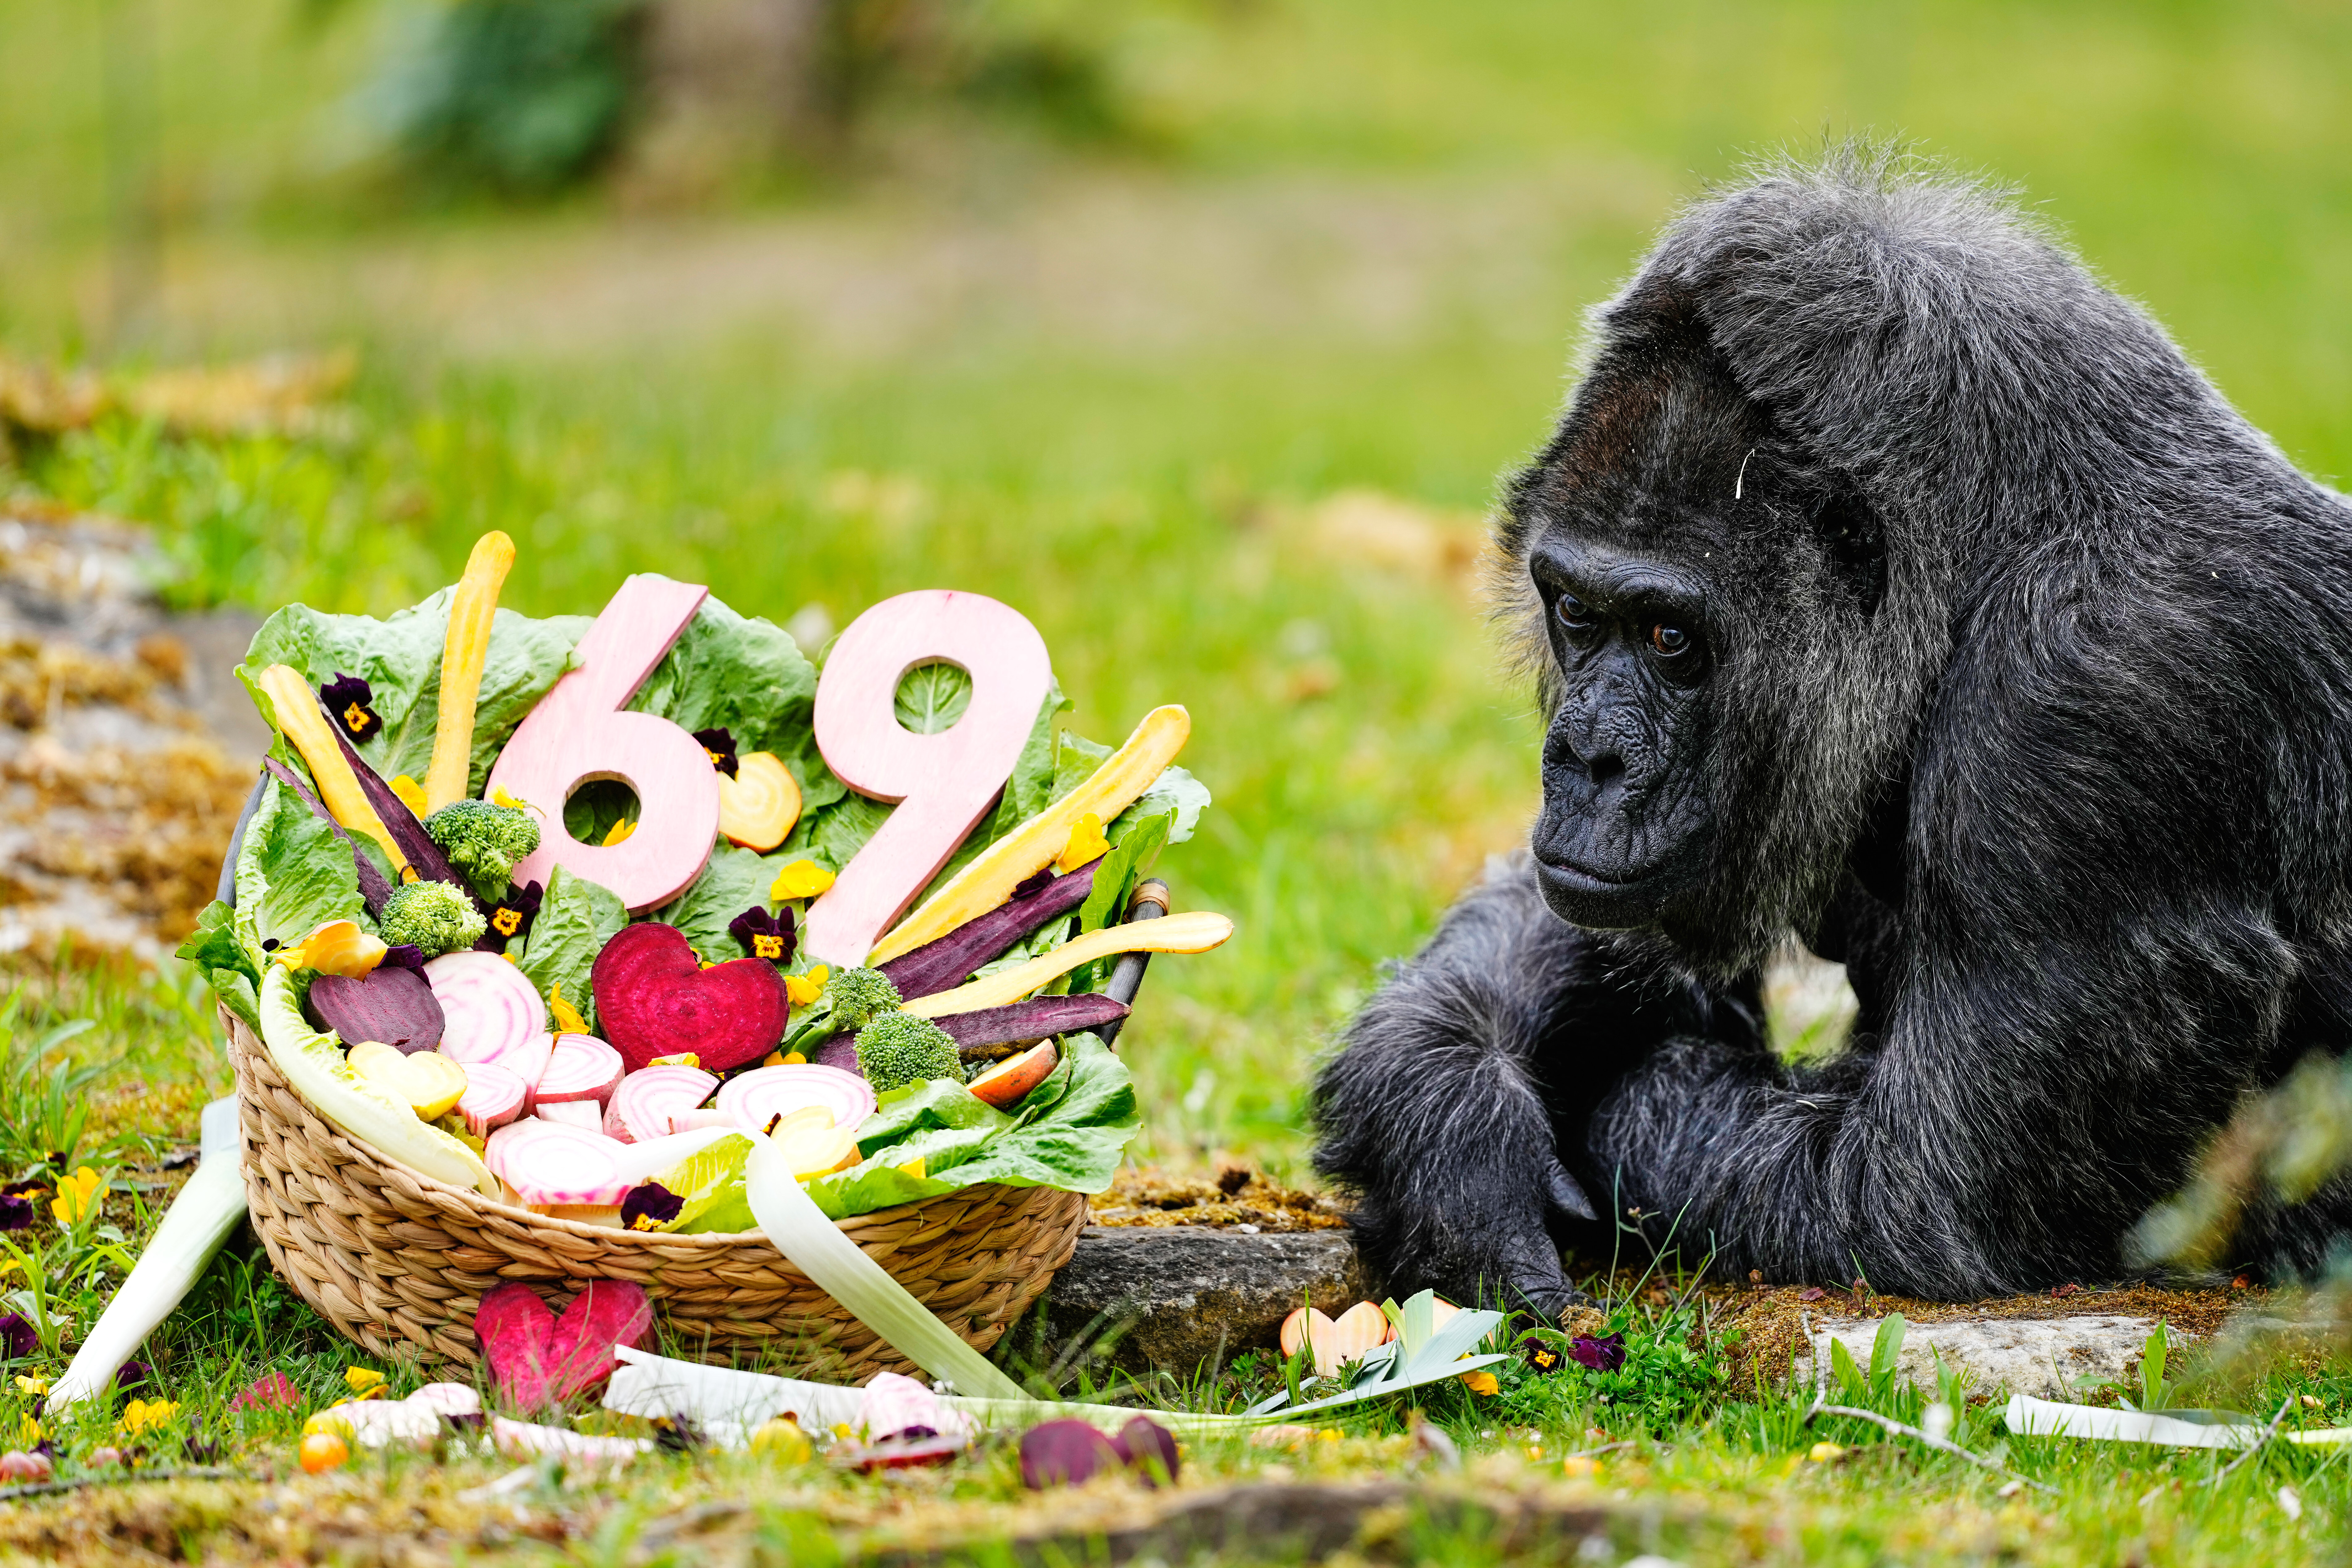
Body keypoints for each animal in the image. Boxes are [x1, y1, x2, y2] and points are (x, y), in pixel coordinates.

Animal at [1312, 149, 2352, 1318]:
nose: (1586, 758)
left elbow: (1910, 1193)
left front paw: (1614, 1102)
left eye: (1671, 636)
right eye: (1576, 611)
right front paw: (1449, 1117)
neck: (1986, 567)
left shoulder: (2102, 710)